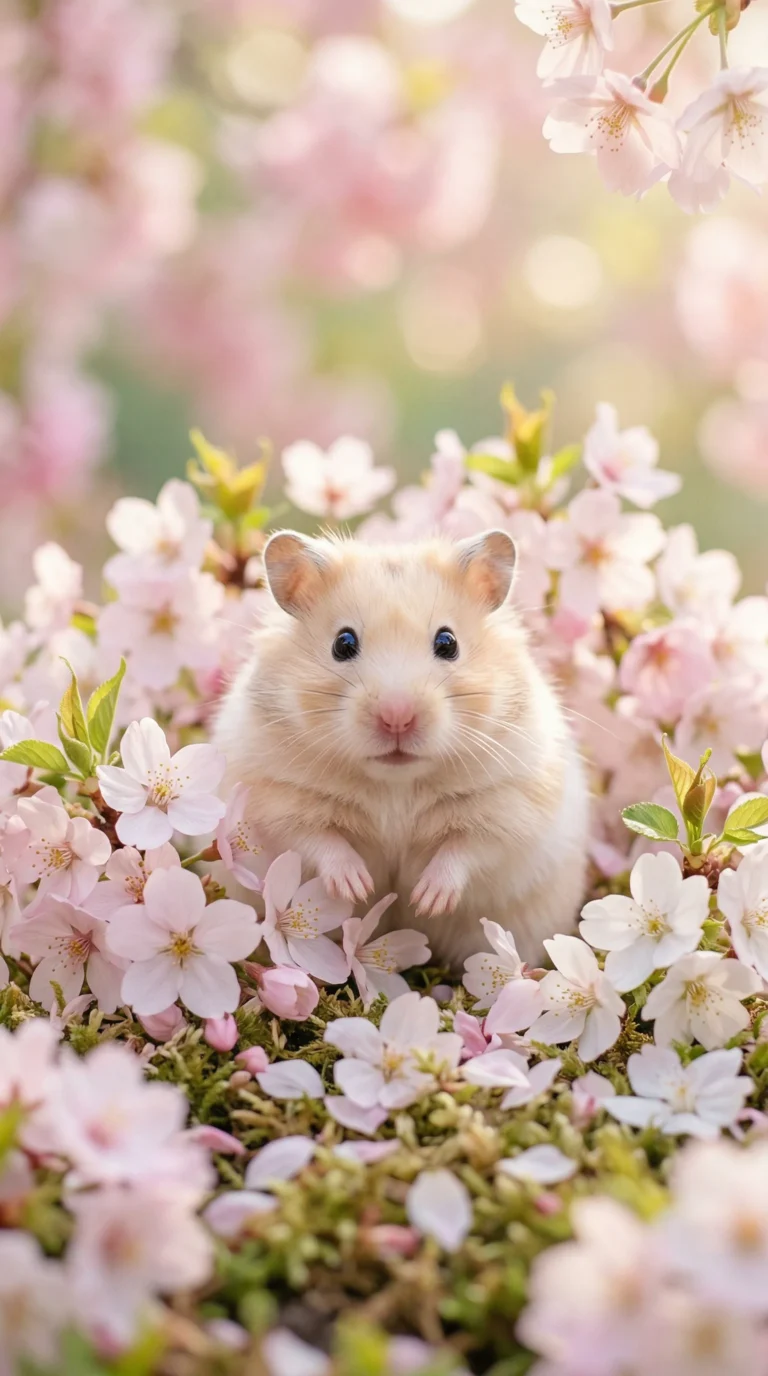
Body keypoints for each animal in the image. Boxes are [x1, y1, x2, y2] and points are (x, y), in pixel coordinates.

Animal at [214, 528, 589, 970]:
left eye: (448, 642)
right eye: (343, 643)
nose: (397, 717)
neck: (396, 782)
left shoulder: (510, 803)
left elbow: (467, 848)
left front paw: (427, 900)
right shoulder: (276, 798)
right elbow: (317, 839)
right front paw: (356, 887)